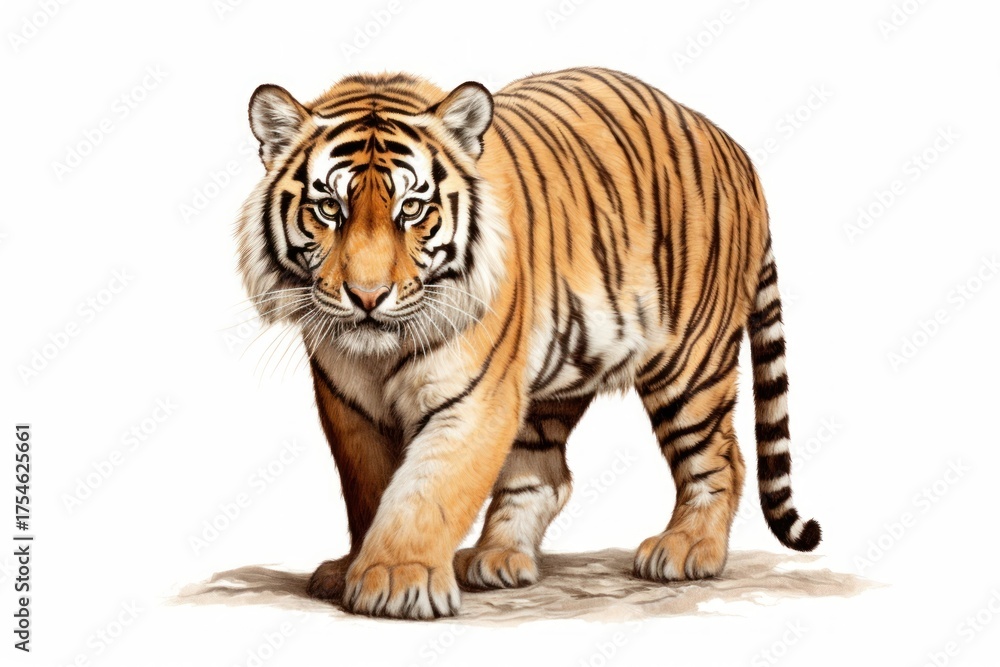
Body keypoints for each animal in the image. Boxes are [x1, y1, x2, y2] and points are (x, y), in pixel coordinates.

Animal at [235, 67, 821, 620]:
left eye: (412, 210)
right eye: (329, 209)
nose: (367, 296)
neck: (381, 353)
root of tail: (733, 148)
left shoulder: (471, 398)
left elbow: (428, 489)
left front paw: (396, 580)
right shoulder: (349, 404)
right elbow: (369, 489)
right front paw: (354, 567)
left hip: (690, 366)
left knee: (721, 458)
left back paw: (686, 550)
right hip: (559, 375)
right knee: (546, 475)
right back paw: (497, 558)